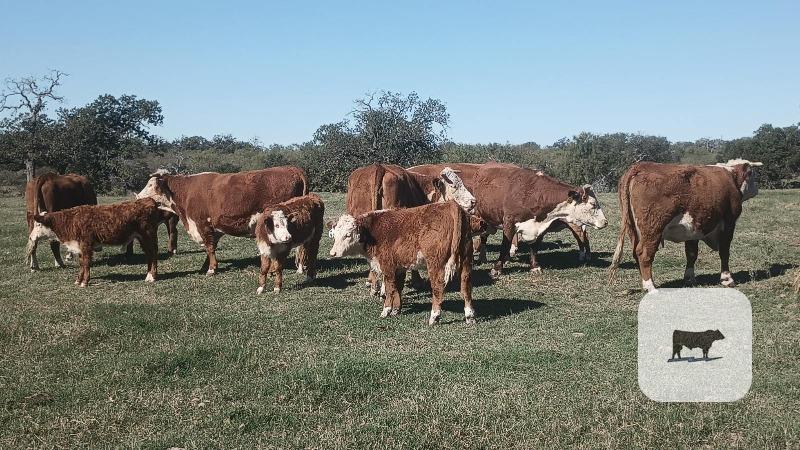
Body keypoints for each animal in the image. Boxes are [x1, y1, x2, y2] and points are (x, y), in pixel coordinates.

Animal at [26, 198, 163, 286]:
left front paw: (84, 282)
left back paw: (152, 277)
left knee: (153, 254)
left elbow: (86, 263)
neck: (70, 221)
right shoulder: (80, 247)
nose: (31, 238)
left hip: (148, 236)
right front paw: (78, 280)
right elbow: (81, 263)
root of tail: (149, 200)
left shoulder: (86, 245)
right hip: (142, 238)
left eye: (38, 224)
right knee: (149, 255)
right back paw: (148, 275)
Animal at [136, 166, 308, 275]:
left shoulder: (202, 224)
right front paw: (205, 266)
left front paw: (211, 269)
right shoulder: (214, 228)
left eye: (150, 185)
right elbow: (211, 247)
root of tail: (293, 169)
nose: (138, 198)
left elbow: (209, 247)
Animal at [329, 201, 475, 325]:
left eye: (348, 234)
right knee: (466, 287)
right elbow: (398, 288)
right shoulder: (399, 267)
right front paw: (396, 310)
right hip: (466, 260)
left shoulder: (387, 266)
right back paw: (469, 316)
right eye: (335, 235)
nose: (333, 253)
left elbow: (389, 289)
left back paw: (434, 317)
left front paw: (386, 310)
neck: (374, 232)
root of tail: (451, 205)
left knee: (438, 288)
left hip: (436, 263)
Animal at [470, 163, 608, 278]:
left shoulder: (541, 228)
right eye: (593, 204)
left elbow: (534, 248)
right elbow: (505, 246)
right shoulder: (509, 224)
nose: (605, 222)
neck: (534, 195)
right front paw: (497, 269)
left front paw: (535, 266)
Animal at [609, 160, 762, 292]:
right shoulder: (728, 223)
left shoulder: (693, 228)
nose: (757, 189)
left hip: (632, 229)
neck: (731, 177)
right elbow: (724, 251)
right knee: (644, 253)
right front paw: (727, 279)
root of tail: (639, 166)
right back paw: (650, 286)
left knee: (635, 253)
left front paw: (689, 278)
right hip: (653, 228)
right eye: (752, 173)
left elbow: (691, 253)